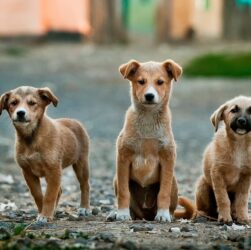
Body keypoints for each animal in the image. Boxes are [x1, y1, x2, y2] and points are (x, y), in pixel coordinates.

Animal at [0, 86, 90, 223]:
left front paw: (45, 215)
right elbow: (38, 195)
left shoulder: (53, 170)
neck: (31, 137)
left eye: (32, 103)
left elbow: (49, 195)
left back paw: (84, 208)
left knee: (85, 185)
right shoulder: (28, 172)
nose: (20, 113)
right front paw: (43, 212)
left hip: (81, 163)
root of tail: (73, 120)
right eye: (13, 103)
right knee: (60, 191)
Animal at [107, 59, 194, 222]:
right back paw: (119, 213)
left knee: (170, 204)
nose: (149, 96)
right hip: (117, 179)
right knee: (132, 208)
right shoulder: (123, 158)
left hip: (174, 181)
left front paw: (163, 214)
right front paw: (122, 213)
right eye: (141, 81)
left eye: (160, 82)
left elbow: (163, 193)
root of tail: (145, 215)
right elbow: (123, 192)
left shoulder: (167, 158)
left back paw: (167, 214)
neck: (148, 119)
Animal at [196, 96, 251, 225]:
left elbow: (242, 200)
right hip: (202, 185)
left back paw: (235, 214)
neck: (239, 145)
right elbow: (223, 198)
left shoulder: (245, 177)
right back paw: (202, 215)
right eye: (233, 110)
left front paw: (243, 217)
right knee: (204, 209)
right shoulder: (217, 174)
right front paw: (225, 218)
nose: (242, 121)